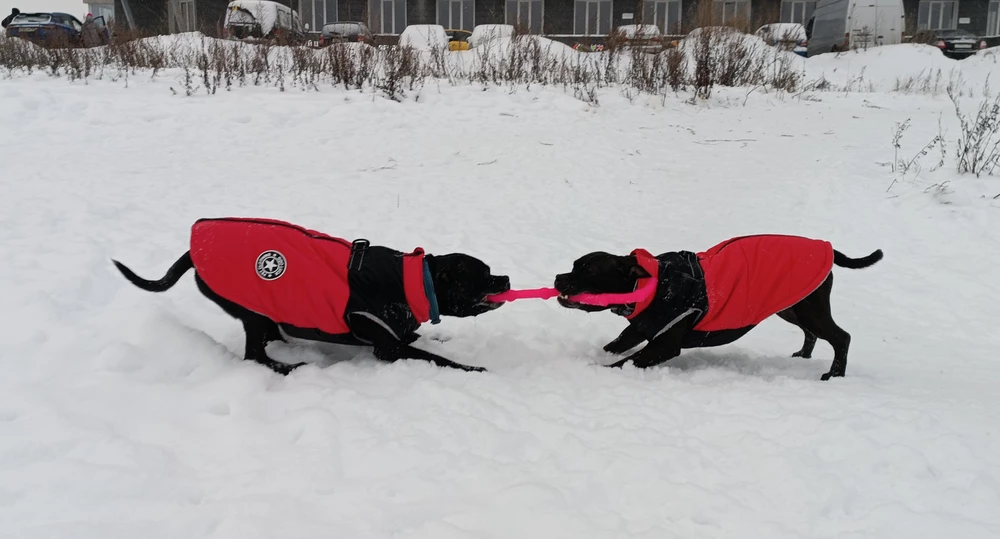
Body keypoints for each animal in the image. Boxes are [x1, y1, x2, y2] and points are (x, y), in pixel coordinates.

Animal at [113, 217, 512, 374]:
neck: (415, 281)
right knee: (255, 355)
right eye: (483, 276)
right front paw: (473, 369)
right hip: (252, 311)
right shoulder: (389, 348)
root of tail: (193, 251)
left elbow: (426, 340)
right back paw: (288, 367)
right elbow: (438, 359)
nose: (506, 278)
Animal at [556, 235, 884, 380]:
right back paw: (803, 355)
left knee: (841, 337)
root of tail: (827, 246)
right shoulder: (639, 330)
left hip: (810, 310)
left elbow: (624, 362)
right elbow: (614, 347)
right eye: (573, 265)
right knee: (812, 333)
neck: (649, 284)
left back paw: (834, 374)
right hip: (790, 306)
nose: (559, 278)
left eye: (589, 271)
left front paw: (600, 372)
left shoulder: (663, 346)